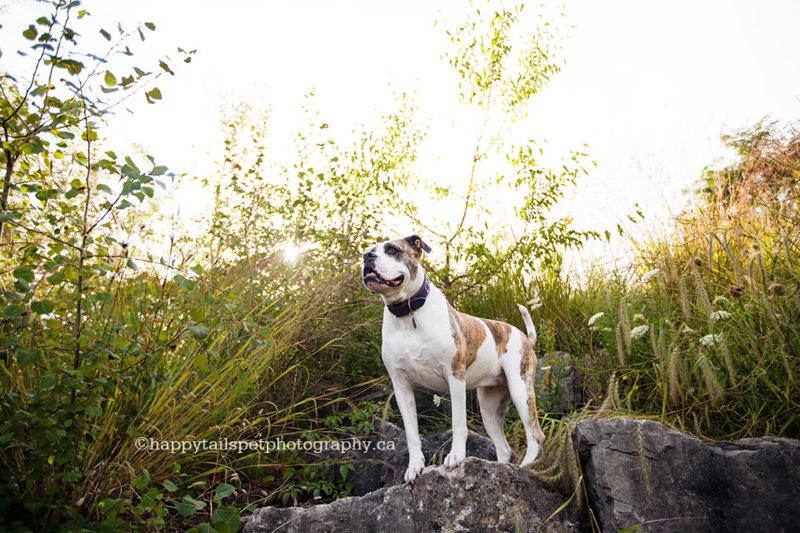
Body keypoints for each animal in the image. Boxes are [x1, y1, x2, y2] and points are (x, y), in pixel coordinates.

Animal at [362, 234, 544, 482]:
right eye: (370, 249)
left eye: (392, 250)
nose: (367, 256)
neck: (408, 313)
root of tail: (525, 336)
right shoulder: (401, 386)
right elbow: (411, 433)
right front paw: (415, 466)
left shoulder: (455, 376)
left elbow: (458, 423)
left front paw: (456, 457)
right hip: (489, 405)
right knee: (504, 447)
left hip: (521, 389)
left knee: (535, 434)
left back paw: (526, 467)